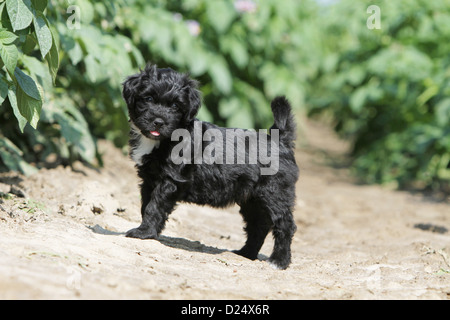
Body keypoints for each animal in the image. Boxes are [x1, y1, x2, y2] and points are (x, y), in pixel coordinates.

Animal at [123, 63, 298, 268]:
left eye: (175, 106)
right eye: (148, 98)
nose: (158, 122)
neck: (165, 140)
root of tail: (280, 139)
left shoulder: (169, 181)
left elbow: (154, 206)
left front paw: (144, 232)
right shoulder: (149, 180)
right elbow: (145, 205)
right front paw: (148, 231)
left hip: (274, 193)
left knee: (284, 225)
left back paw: (279, 261)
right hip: (252, 199)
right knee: (258, 226)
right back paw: (246, 253)